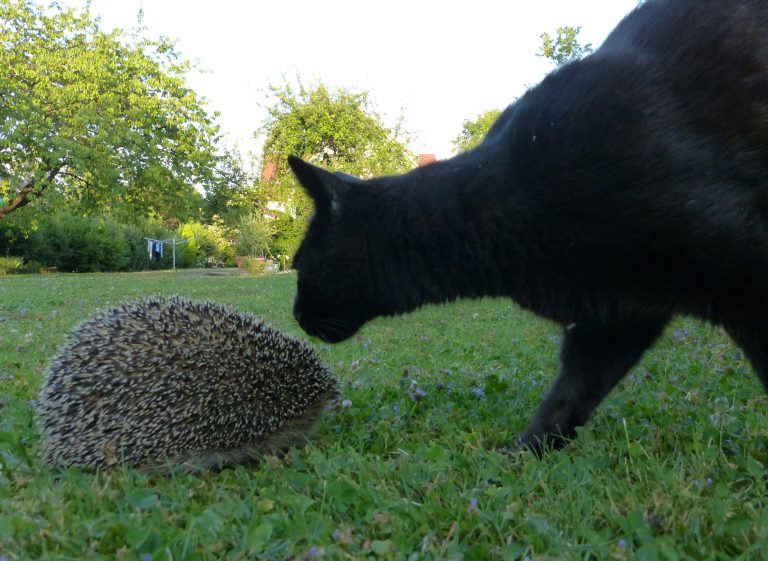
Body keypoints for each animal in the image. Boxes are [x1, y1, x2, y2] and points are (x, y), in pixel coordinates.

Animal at [286, 0, 768, 448]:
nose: (293, 314)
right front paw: (518, 458)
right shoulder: (614, 320)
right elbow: (567, 399)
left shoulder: (743, 267)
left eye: (298, 265)